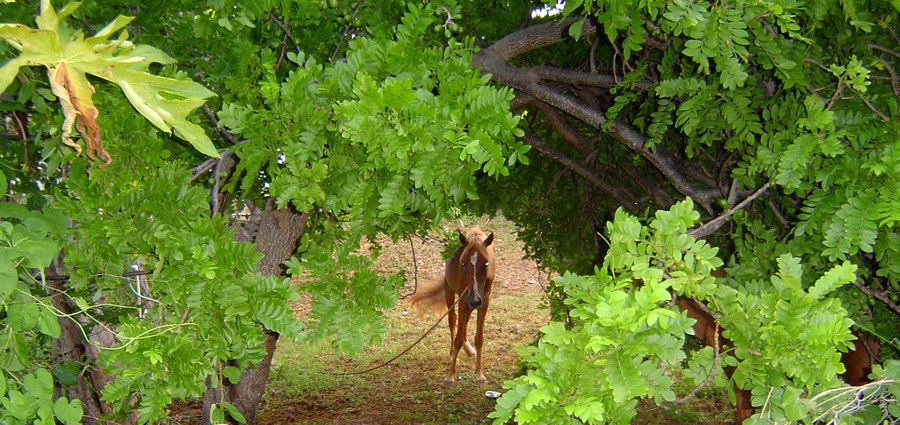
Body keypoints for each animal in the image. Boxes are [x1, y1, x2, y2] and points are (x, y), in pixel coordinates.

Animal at [410, 227, 496, 386]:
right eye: (463, 264)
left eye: (486, 263)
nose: (475, 300)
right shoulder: (463, 300)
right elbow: (457, 338)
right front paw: (450, 376)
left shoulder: (484, 302)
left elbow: (479, 338)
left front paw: (479, 375)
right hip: (450, 291)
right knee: (453, 320)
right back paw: (452, 354)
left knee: (465, 321)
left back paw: (468, 349)